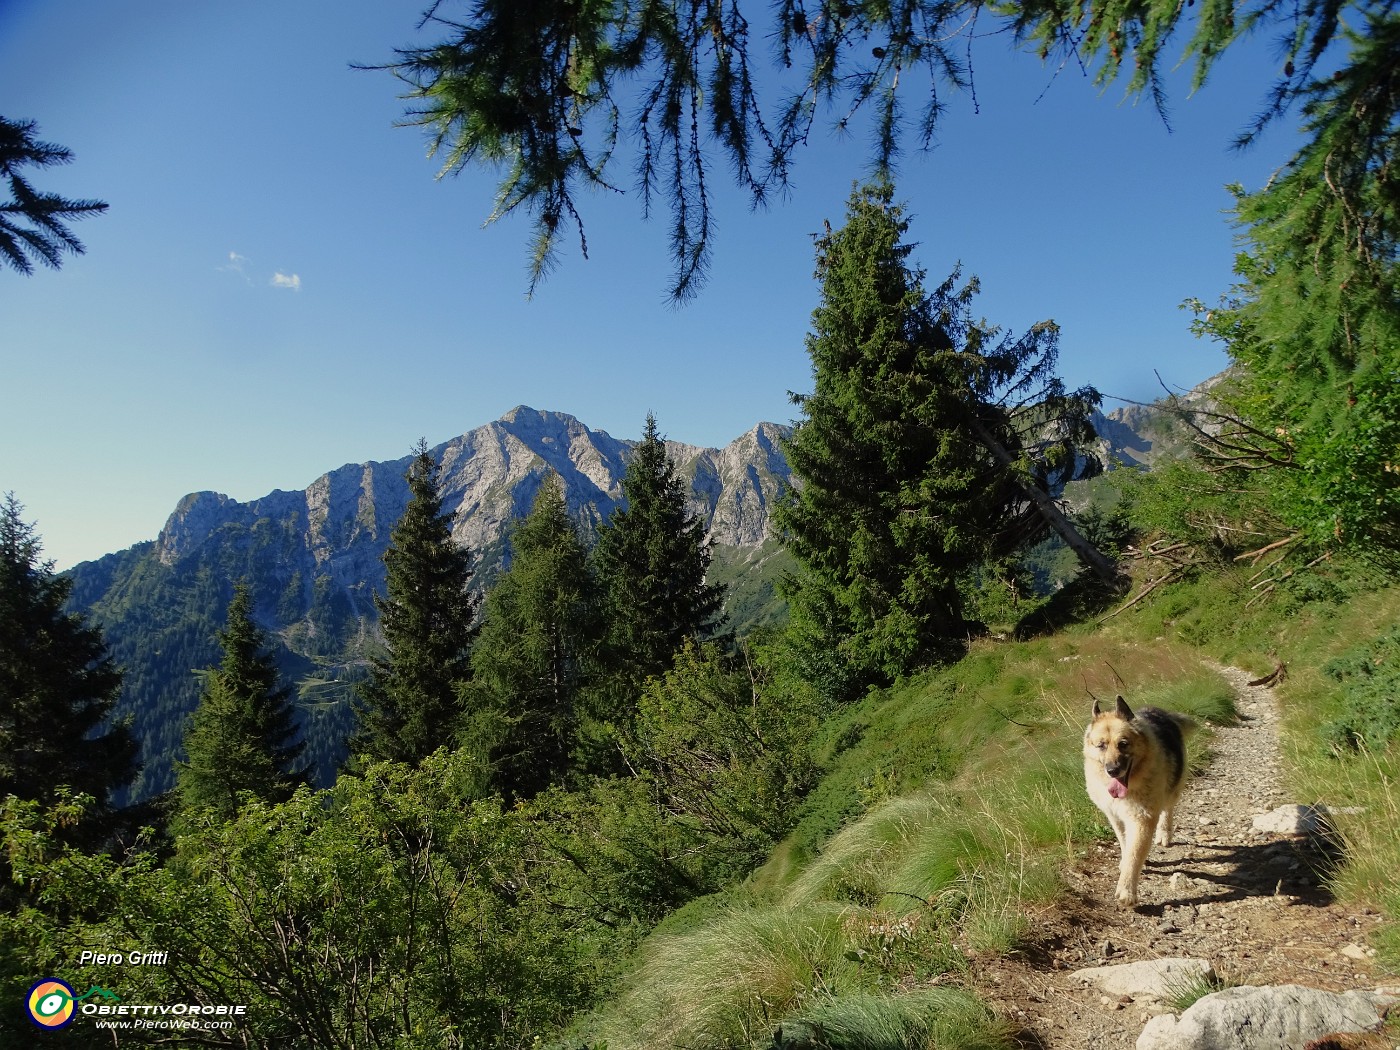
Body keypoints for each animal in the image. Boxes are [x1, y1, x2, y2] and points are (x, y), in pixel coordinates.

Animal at [1086, 694, 1198, 907]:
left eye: (1123, 744)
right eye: (1101, 745)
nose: (1112, 770)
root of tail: (1160, 712)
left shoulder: (1142, 819)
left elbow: (1135, 852)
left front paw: (1127, 890)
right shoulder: (1115, 817)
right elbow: (1124, 843)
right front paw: (1124, 862)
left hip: (1173, 789)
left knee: (1167, 809)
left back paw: (1164, 833)